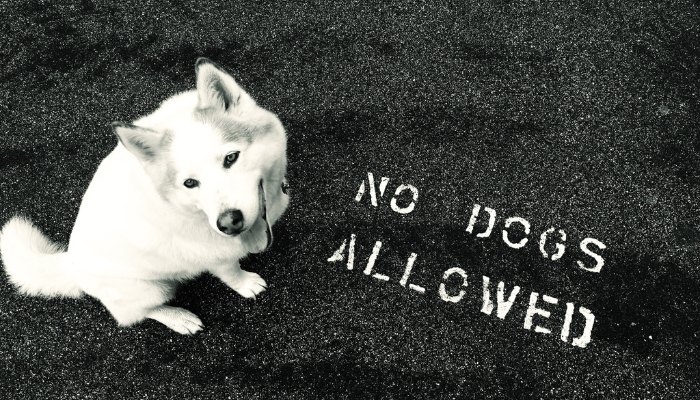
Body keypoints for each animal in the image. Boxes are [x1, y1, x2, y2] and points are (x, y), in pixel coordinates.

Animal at [0, 58, 289, 334]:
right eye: (190, 183)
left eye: (231, 158)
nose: (229, 223)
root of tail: (70, 263)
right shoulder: (216, 257)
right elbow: (232, 274)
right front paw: (246, 284)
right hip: (151, 289)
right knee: (138, 314)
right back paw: (178, 318)